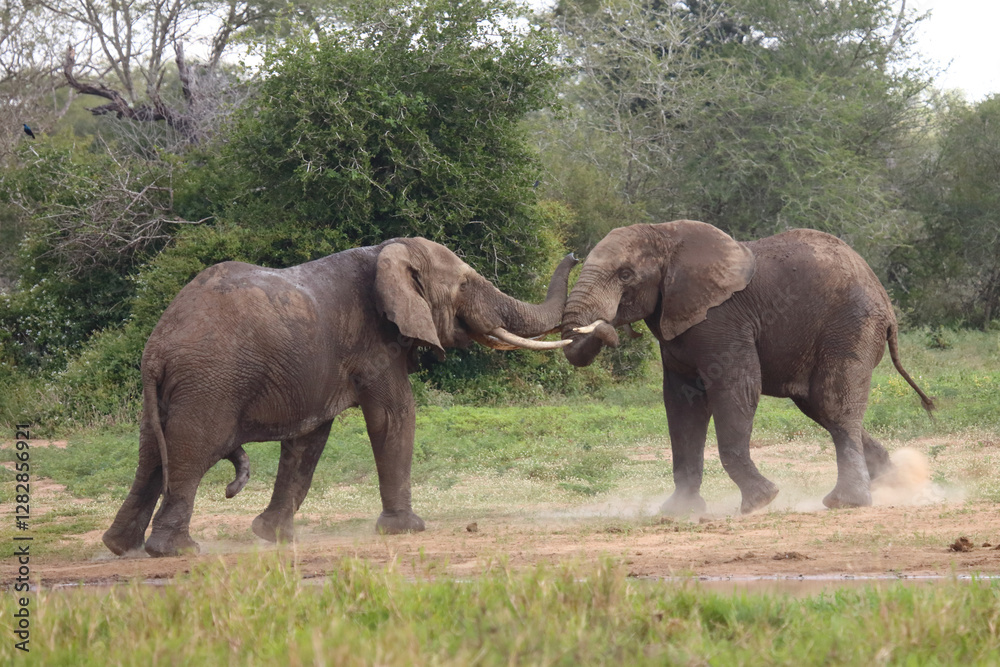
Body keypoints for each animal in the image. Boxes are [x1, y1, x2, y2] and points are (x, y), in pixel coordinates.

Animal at [103, 238, 576, 557]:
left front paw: (273, 537)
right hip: (209, 384)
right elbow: (393, 417)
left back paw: (121, 547)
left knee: (151, 457)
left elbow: (309, 440)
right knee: (192, 453)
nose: (573, 255)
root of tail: (157, 348)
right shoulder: (375, 344)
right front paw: (407, 530)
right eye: (463, 284)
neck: (388, 251)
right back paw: (176, 552)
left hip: (172, 392)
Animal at [561, 220, 934, 515]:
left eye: (625, 275)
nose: (607, 329)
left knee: (834, 405)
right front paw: (679, 512)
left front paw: (759, 502)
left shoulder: (722, 320)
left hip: (851, 326)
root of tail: (884, 299)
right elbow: (682, 403)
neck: (666, 234)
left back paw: (847, 502)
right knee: (818, 406)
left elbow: (736, 389)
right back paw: (897, 483)